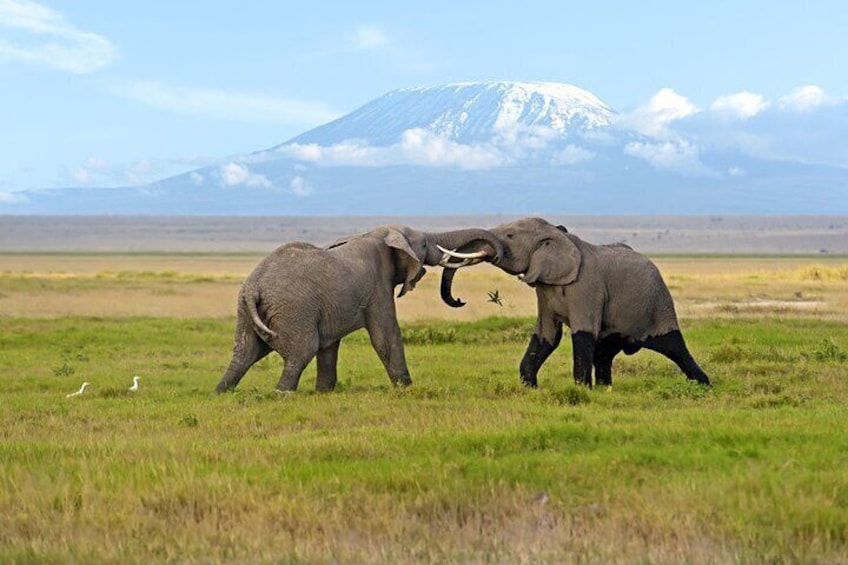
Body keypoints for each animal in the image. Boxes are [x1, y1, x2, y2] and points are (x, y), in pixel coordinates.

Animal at [215, 225, 500, 392]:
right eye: (423, 244)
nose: (460, 300)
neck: (378, 234)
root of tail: (254, 287)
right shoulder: (378, 287)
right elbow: (385, 336)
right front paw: (406, 389)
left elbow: (329, 347)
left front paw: (324, 392)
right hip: (293, 310)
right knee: (302, 350)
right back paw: (281, 393)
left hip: (247, 310)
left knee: (245, 352)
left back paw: (222, 392)